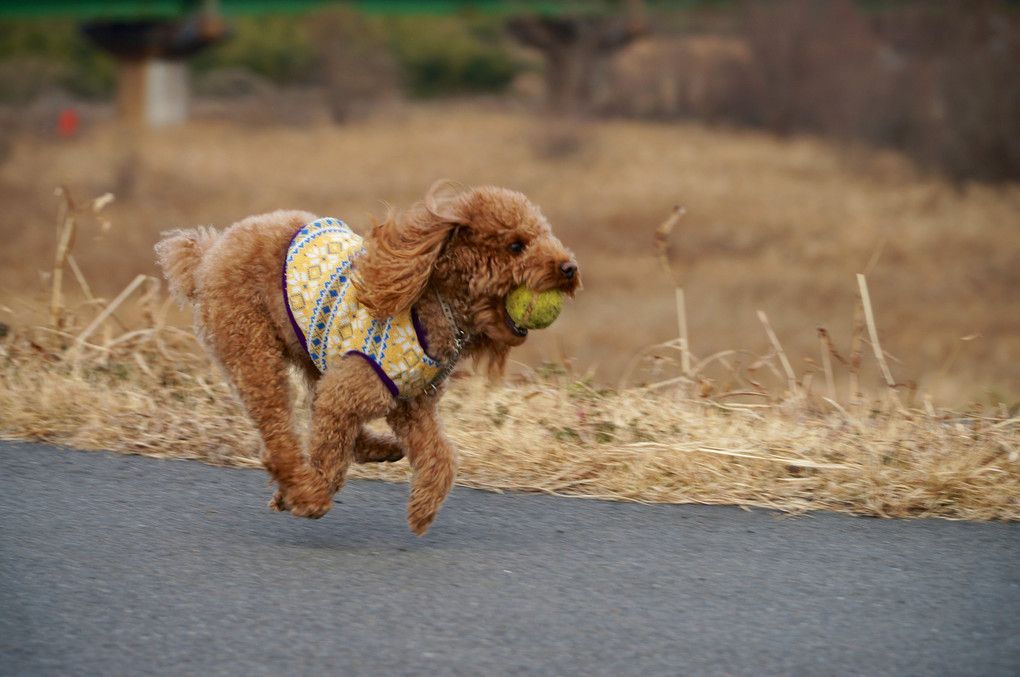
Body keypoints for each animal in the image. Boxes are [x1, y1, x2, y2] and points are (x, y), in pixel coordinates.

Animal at [154, 179, 579, 534]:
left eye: (544, 236)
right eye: (516, 246)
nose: (570, 268)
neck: (431, 303)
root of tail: (210, 251)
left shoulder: (413, 406)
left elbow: (442, 457)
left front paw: (422, 510)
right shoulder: (351, 391)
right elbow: (330, 451)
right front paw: (309, 494)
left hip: (314, 353)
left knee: (323, 411)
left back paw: (380, 449)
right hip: (250, 346)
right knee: (278, 436)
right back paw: (305, 492)